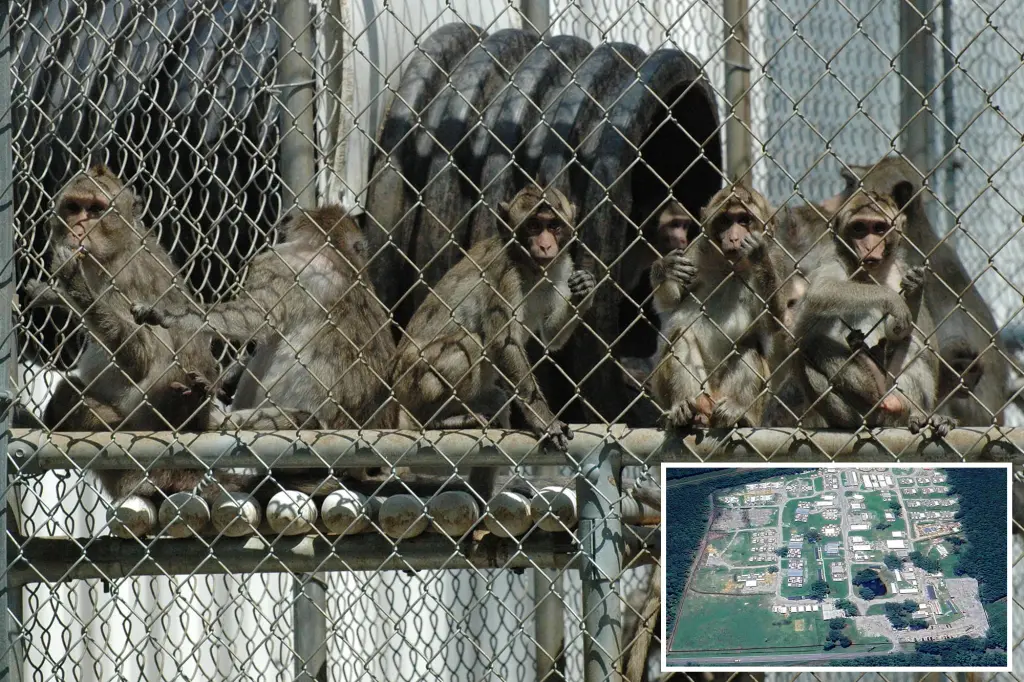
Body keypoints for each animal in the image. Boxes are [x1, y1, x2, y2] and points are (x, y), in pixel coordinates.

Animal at [21, 164, 234, 504]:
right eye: (74, 207)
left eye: (96, 210)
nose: (79, 227)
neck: (113, 252)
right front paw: (52, 292)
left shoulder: (126, 276)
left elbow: (142, 357)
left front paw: (74, 284)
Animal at [391, 185, 595, 498]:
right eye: (533, 226)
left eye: (553, 226)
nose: (545, 246)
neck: (528, 265)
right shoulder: (504, 275)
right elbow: (503, 343)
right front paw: (545, 420)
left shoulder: (561, 265)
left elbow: (552, 336)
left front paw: (585, 288)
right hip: (413, 383)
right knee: (470, 343)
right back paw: (435, 420)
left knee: (498, 398)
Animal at [649, 185, 787, 429]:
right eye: (725, 221)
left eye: (744, 220)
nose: (733, 237)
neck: (730, 268)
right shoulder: (695, 250)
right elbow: (669, 302)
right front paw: (666, 268)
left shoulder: (778, 260)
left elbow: (773, 322)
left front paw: (758, 256)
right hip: (668, 388)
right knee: (682, 338)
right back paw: (684, 410)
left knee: (749, 347)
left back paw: (737, 413)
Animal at [792, 190, 956, 435]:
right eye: (859, 228)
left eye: (879, 228)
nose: (869, 247)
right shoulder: (833, 256)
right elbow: (821, 291)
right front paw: (892, 299)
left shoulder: (898, 271)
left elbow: (900, 332)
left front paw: (915, 290)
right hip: (851, 412)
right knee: (814, 344)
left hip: (895, 398)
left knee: (909, 345)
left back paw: (914, 413)